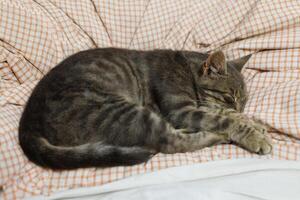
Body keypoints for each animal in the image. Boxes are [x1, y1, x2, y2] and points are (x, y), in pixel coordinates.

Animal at [18, 48, 272, 169]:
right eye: (229, 97)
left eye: (245, 100)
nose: (241, 108)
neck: (188, 71)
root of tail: (27, 123)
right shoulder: (181, 110)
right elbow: (224, 119)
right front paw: (254, 135)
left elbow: (223, 114)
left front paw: (253, 122)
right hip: (123, 112)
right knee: (169, 142)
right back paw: (217, 136)